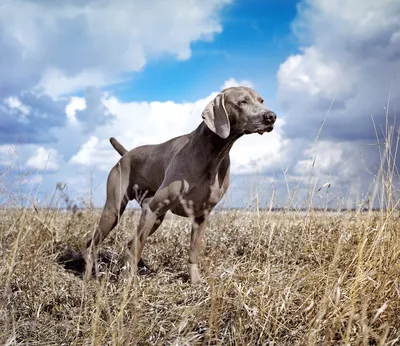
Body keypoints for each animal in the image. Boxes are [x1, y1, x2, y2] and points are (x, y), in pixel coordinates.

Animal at [86, 85, 276, 282]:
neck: (213, 153)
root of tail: (126, 154)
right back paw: (90, 278)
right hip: (116, 210)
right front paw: (128, 282)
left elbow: (193, 252)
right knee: (94, 245)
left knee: (130, 242)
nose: (271, 116)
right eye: (242, 102)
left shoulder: (202, 216)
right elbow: (137, 248)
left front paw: (195, 282)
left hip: (155, 216)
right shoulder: (152, 208)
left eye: (261, 100)